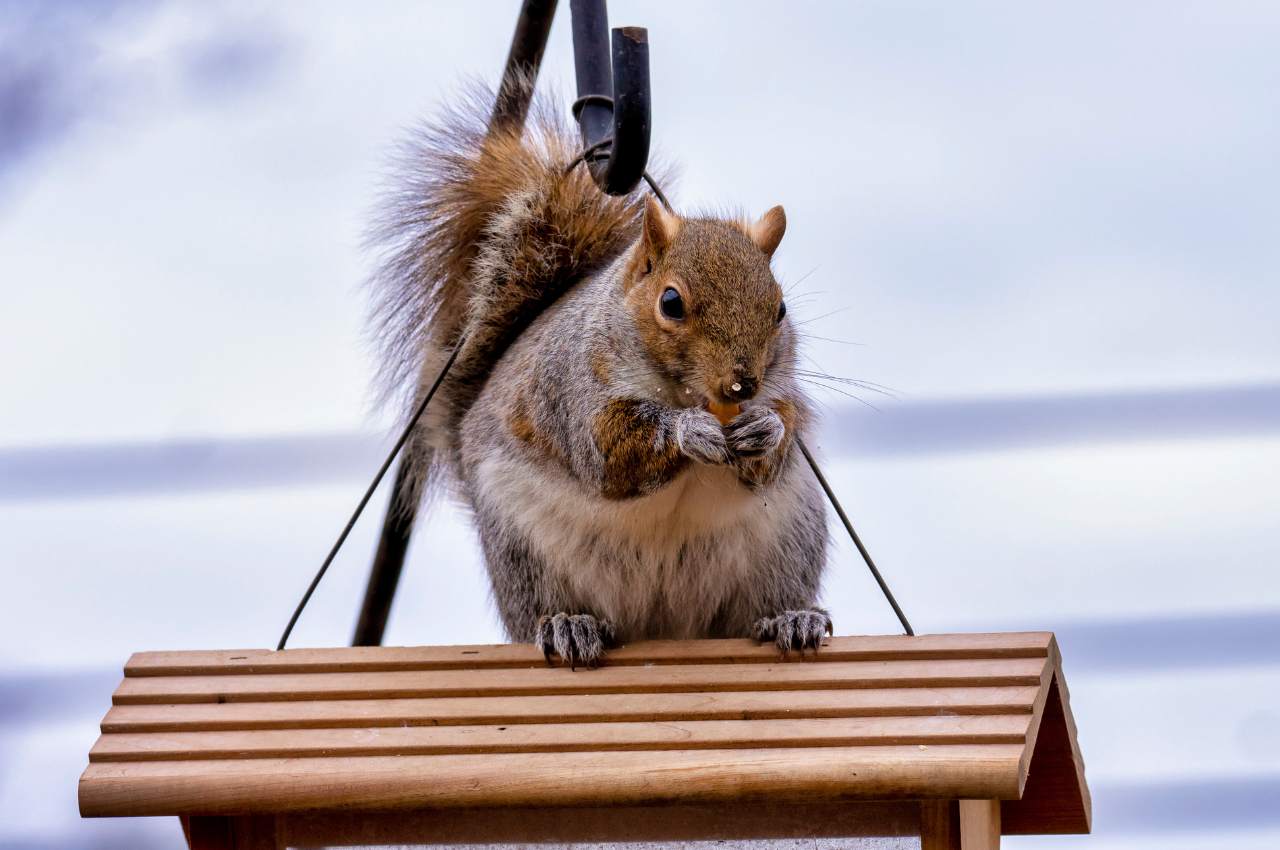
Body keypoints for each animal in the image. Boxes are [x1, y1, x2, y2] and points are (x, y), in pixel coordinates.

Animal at [371, 87, 829, 670]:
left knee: (759, 608)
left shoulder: (782, 391)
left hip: (789, 543)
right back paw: (569, 625)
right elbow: (607, 451)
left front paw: (766, 428)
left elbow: (775, 449)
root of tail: (664, 632)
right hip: (523, 554)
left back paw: (791, 618)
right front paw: (689, 431)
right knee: (546, 607)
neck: (679, 391)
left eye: (780, 309)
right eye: (671, 303)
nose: (742, 385)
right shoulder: (568, 389)